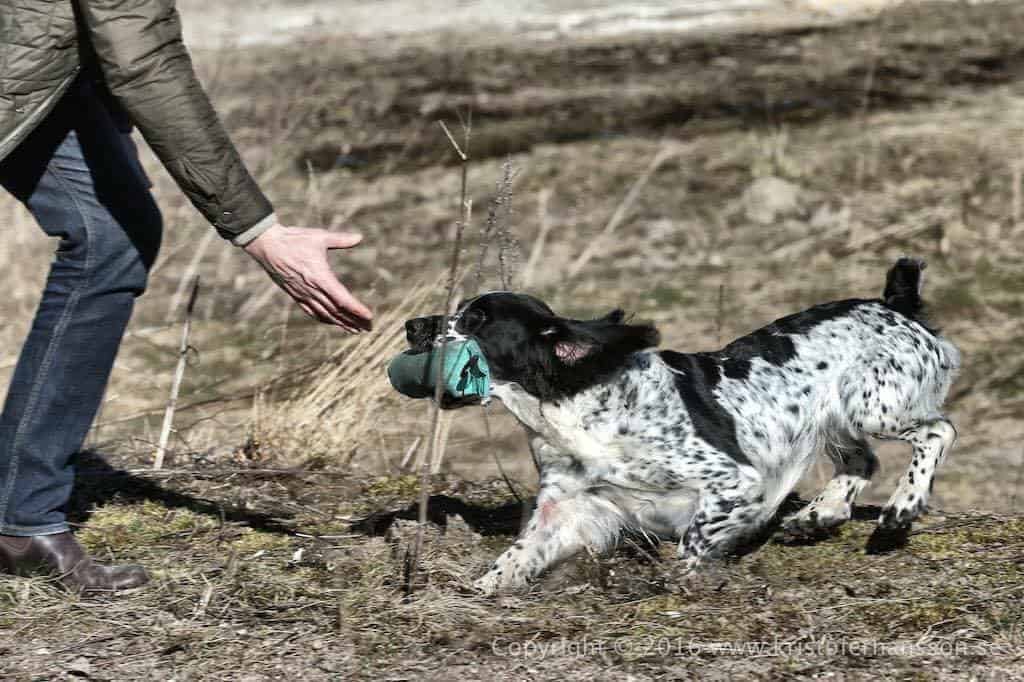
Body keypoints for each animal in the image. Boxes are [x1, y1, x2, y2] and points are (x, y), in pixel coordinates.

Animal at [405, 258, 958, 593]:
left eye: (475, 320)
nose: (412, 326)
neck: (580, 403)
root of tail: (893, 305)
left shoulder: (735, 481)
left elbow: (694, 540)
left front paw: (683, 582)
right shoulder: (570, 506)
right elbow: (514, 558)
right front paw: (474, 594)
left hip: (873, 404)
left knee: (937, 432)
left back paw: (900, 510)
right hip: (838, 418)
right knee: (861, 460)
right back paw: (814, 518)